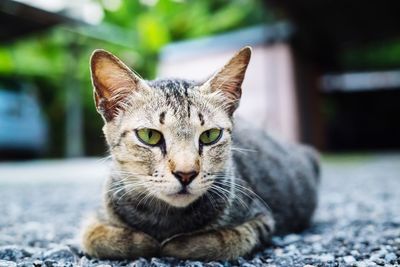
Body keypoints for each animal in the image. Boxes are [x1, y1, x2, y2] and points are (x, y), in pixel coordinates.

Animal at [80, 46, 318, 262]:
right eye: (149, 136)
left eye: (210, 135)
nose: (186, 173)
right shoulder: (95, 218)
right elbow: (95, 237)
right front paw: (145, 241)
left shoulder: (261, 219)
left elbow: (222, 241)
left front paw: (174, 244)